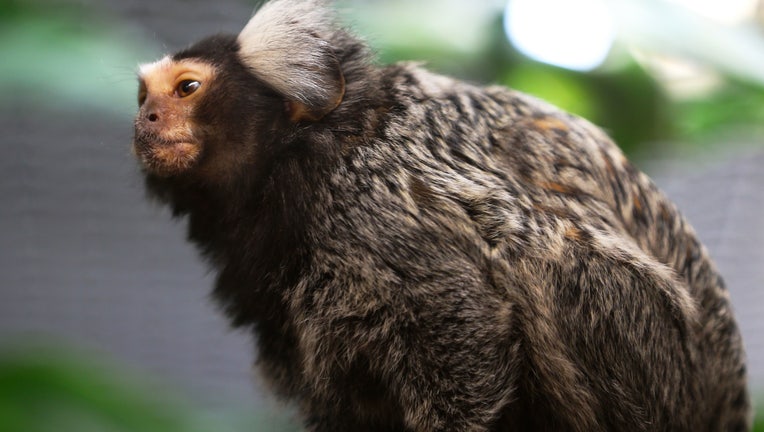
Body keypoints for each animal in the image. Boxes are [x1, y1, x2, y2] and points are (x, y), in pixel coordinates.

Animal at [132, 0, 750, 430]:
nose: (147, 120)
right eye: (144, 98)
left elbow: (461, 314)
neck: (310, 152)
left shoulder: (374, 207)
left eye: (188, 88)